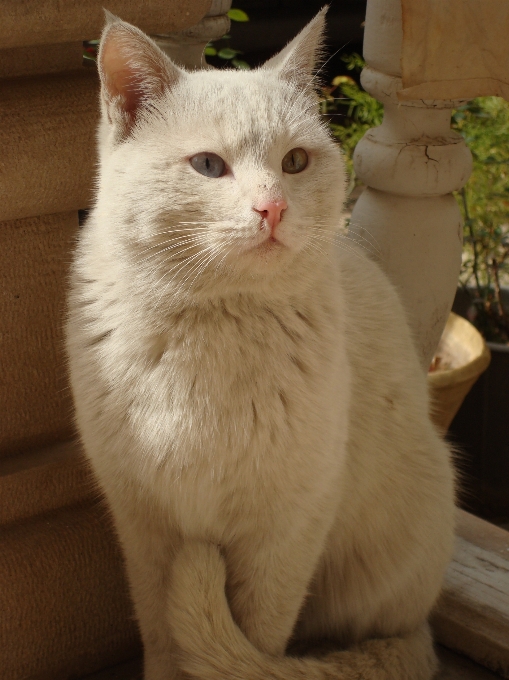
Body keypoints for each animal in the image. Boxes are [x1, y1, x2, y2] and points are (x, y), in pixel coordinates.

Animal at [66, 10, 452, 680]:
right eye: (207, 165)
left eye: (295, 161)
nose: (271, 208)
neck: (215, 326)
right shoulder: (144, 528)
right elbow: (163, 640)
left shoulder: (287, 532)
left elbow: (255, 640)